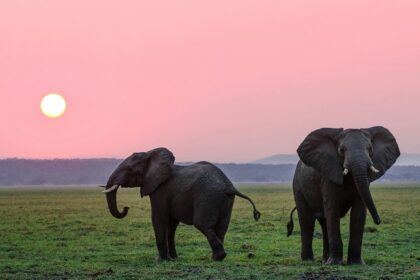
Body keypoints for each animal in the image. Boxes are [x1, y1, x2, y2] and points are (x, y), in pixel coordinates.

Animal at [101, 148, 260, 262]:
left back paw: (217, 257)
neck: (150, 153)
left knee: (203, 225)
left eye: (129, 170)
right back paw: (217, 257)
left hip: (208, 197)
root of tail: (229, 186)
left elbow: (159, 218)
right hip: (225, 200)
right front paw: (173, 258)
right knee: (222, 227)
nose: (126, 208)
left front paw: (161, 260)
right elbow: (171, 224)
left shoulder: (160, 190)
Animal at [288, 126, 400, 264]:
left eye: (370, 149)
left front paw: (356, 263)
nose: (378, 221)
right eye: (341, 150)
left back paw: (325, 260)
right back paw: (308, 260)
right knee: (307, 221)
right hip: (298, 186)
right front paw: (335, 263)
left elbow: (359, 212)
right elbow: (333, 210)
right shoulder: (329, 175)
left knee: (324, 223)